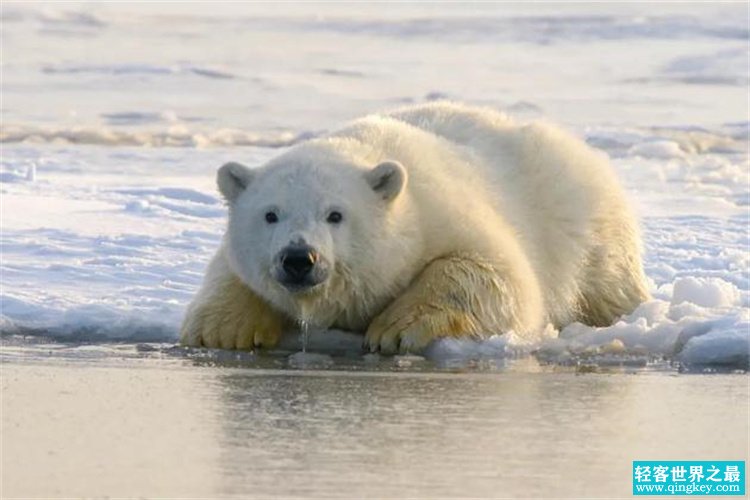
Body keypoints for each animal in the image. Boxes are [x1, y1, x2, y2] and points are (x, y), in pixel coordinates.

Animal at [182, 100, 652, 352]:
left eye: (335, 214)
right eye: (270, 214)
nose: (299, 258)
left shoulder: (443, 213)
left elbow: (497, 275)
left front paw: (394, 330)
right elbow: (228, 271)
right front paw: (223, 330)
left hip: (584, 223)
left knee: (607, 283)